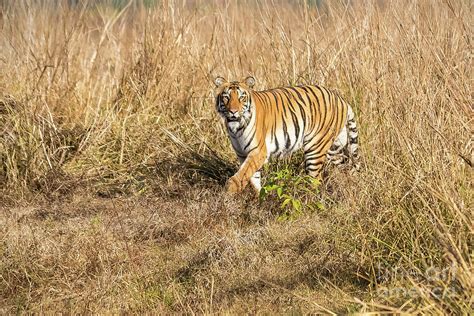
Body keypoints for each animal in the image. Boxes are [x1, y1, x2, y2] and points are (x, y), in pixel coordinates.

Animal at [215, 76, 360, 195]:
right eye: (226, 97)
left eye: (242, 98)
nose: (233, 112)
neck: (236, 129)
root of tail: (341, 99)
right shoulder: (242, 154)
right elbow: (252, 178)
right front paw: (258, 199)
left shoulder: (258, 152)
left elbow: (241, 176)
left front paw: (228, 193)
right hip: (334, 149)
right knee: (345, 167)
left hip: (315, 148)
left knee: (315, 179)